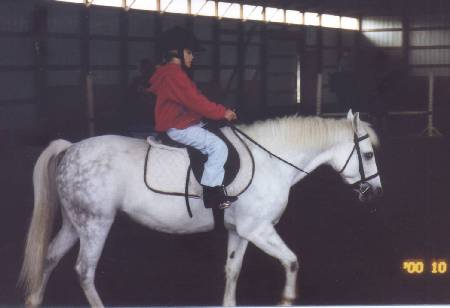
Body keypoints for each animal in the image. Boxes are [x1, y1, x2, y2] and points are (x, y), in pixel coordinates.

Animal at [19, 109, 382, 306]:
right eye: (367, 155)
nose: (375, 193)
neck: (271, 160)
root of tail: (71, 148)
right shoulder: (258, 229)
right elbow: (291, 261)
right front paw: (287, 299)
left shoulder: (241, 231)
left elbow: (232, 270)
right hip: (96, 224)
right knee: (85, 271)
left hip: (75, 223)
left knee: (50, 258)